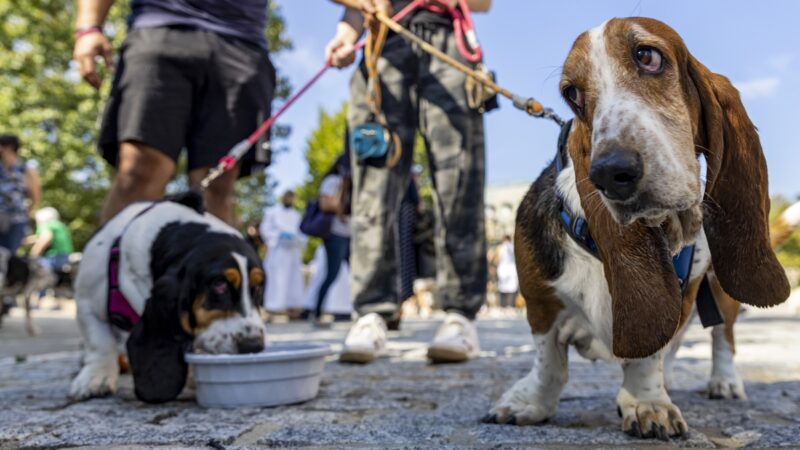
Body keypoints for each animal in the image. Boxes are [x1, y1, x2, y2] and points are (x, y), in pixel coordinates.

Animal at [70, 192, 268, 402]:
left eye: (258, 287)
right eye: (219, 284)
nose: (254, 345)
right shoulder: (87, 304)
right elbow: (99, 343)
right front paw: (95, 379)